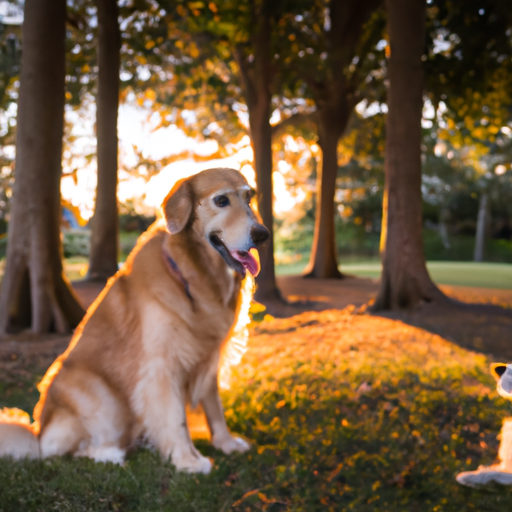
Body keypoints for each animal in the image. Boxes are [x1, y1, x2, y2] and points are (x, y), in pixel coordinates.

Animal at [0, 169, 270, 476]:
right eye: (221, 200)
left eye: (249, 198)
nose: (263, 234)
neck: (194, 276)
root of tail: (37, 431)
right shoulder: (160, 366)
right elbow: (174, 417)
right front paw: (187, 460)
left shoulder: (208, 355)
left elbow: (214, 406)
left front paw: (225, 443)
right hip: (105, 403)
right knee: (61, 451)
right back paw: (109, 454)